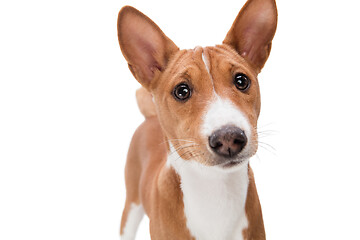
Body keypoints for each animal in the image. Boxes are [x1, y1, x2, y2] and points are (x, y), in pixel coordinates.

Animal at [118, 0, 278, 239]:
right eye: (182, 91)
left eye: (241, 80)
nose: (229, 138)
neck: (215, 194)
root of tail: (150, 116)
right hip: (131, 206)